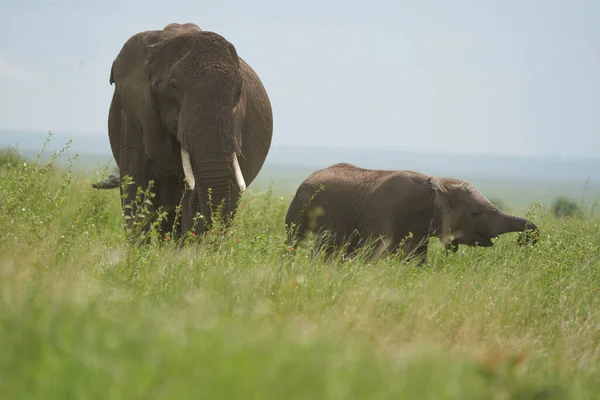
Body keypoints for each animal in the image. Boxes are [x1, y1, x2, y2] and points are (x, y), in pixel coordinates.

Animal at [284, 162, 540, 266]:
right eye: (476, 213)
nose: (526, 240)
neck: (435, 185)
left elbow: (416, 262)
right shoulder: (384, 215)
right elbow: (371, 256)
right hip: (298, 212)